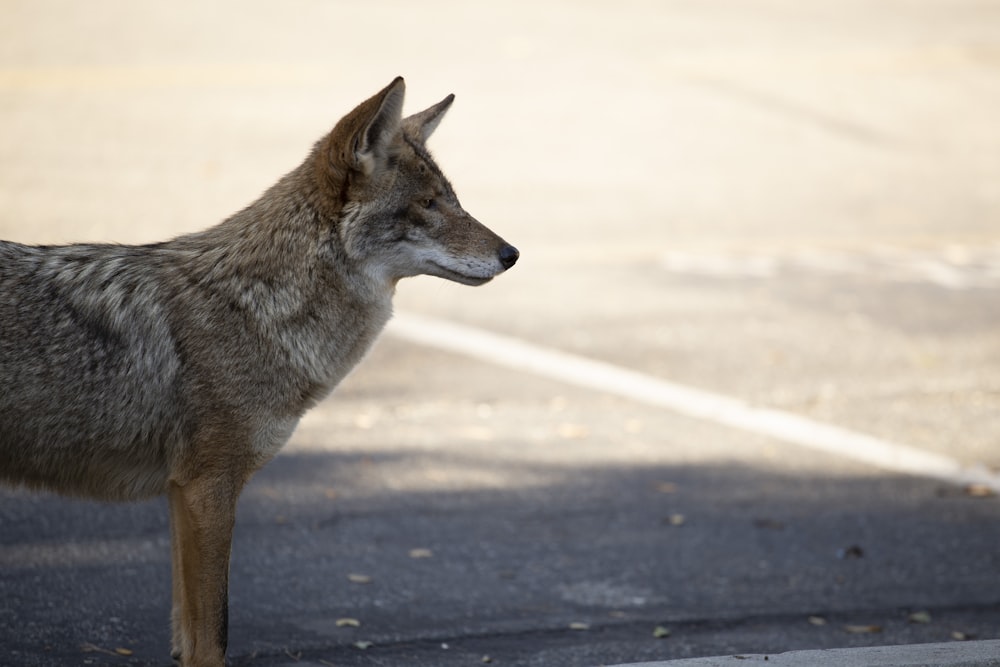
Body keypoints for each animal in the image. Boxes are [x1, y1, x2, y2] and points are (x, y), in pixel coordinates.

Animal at [0, 79, 516, 667]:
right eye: (429, 204)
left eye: (453, 198)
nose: (512, 254)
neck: (256, 308)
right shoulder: (209, 489)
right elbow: (212, 638)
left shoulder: (183, 494)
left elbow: (188, 637)